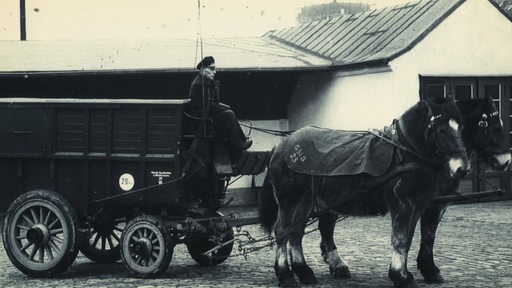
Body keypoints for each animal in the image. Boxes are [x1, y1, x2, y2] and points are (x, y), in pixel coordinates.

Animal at [258, 97, 470, 288]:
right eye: (441, 130)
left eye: (461, 128)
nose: (462, 169)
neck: (403, 153)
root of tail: (280, 146)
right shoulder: (403, 204)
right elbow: (401, 239)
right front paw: (400, 276)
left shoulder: (420, 205)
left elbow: (412, 238)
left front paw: (409, 273)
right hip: (290, 199)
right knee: (282, 230)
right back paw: (285, 274)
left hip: (306, 200)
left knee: (296, 232)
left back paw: (304, 272)